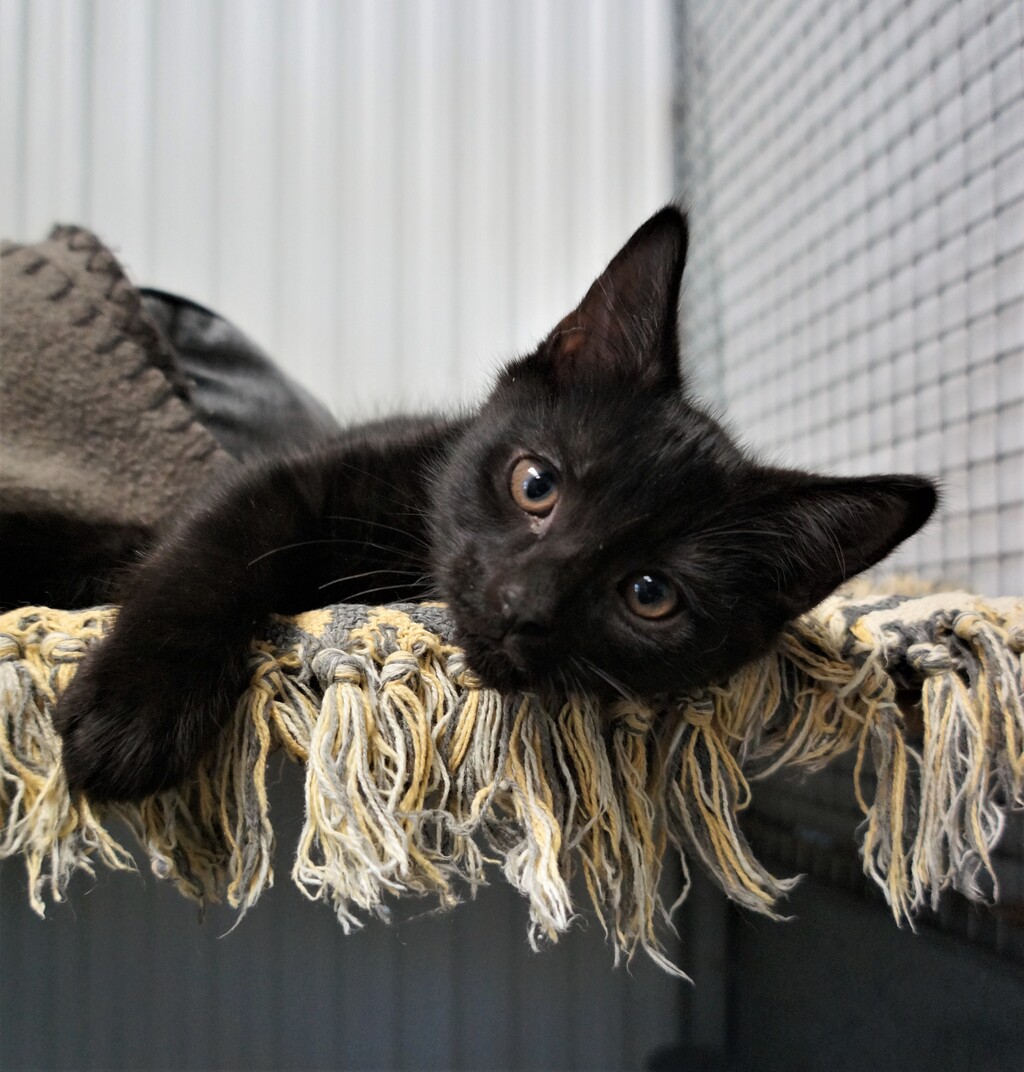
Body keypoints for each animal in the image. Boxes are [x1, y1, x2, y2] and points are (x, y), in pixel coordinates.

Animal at [53, 206, 937, 803]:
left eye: (651, 594)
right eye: (534, 484)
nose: (524, 603)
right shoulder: (294, 480)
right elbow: (208, 553)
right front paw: (132, 711)